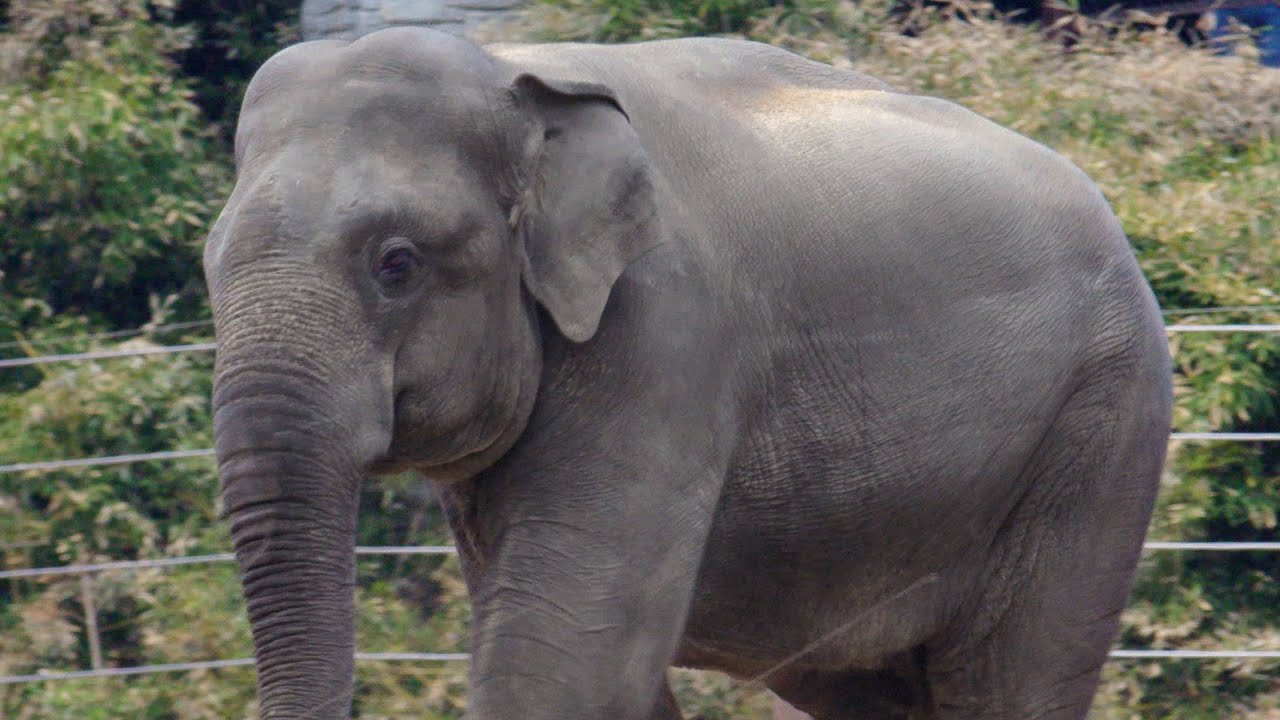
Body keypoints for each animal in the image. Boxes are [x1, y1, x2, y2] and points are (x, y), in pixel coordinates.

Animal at [202, 26, 1173, 720]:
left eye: (396, 263)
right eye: (209, 266)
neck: (513, 66)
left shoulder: (665, 333)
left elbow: (564, 658)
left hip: (1101, 431)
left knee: (1011, 677)